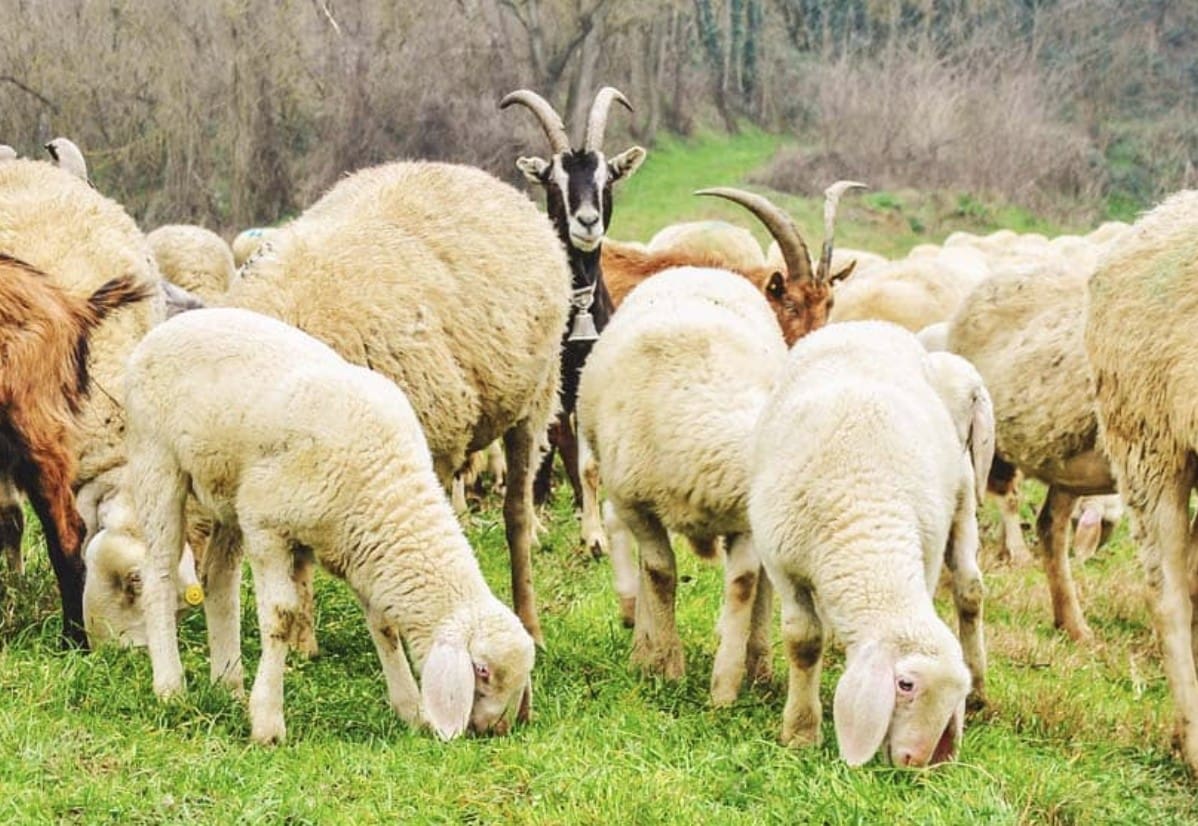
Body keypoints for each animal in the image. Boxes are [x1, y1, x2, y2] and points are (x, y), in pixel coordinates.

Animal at [126, 307, 535, 744]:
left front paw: (410, 710)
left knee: (218, 579)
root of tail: (173, 324)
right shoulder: (266, 527)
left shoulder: (360, 549)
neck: (384, 484)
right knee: (160, 574)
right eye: (482, 671)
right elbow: (281, 617)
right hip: (156, 459)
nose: (495, 729)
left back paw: (228, 685)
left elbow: (384, 624)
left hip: (227, 492)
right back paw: (170, 686)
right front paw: (268, 722)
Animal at [577, 267, 788, 704]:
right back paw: (643, 648)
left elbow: (744, 583)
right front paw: (668, 667)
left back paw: (759, 664)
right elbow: (659, 573)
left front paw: (724, 689)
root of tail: (699, 268)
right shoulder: (636, 505)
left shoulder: (744, 519)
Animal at [748, 320, 990, 766]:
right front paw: (801, 732)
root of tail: (867, 324)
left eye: (954, 697)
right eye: (905, 684)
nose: (916, 763)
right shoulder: (781, 561)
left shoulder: (926, 555)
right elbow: (803, 640)